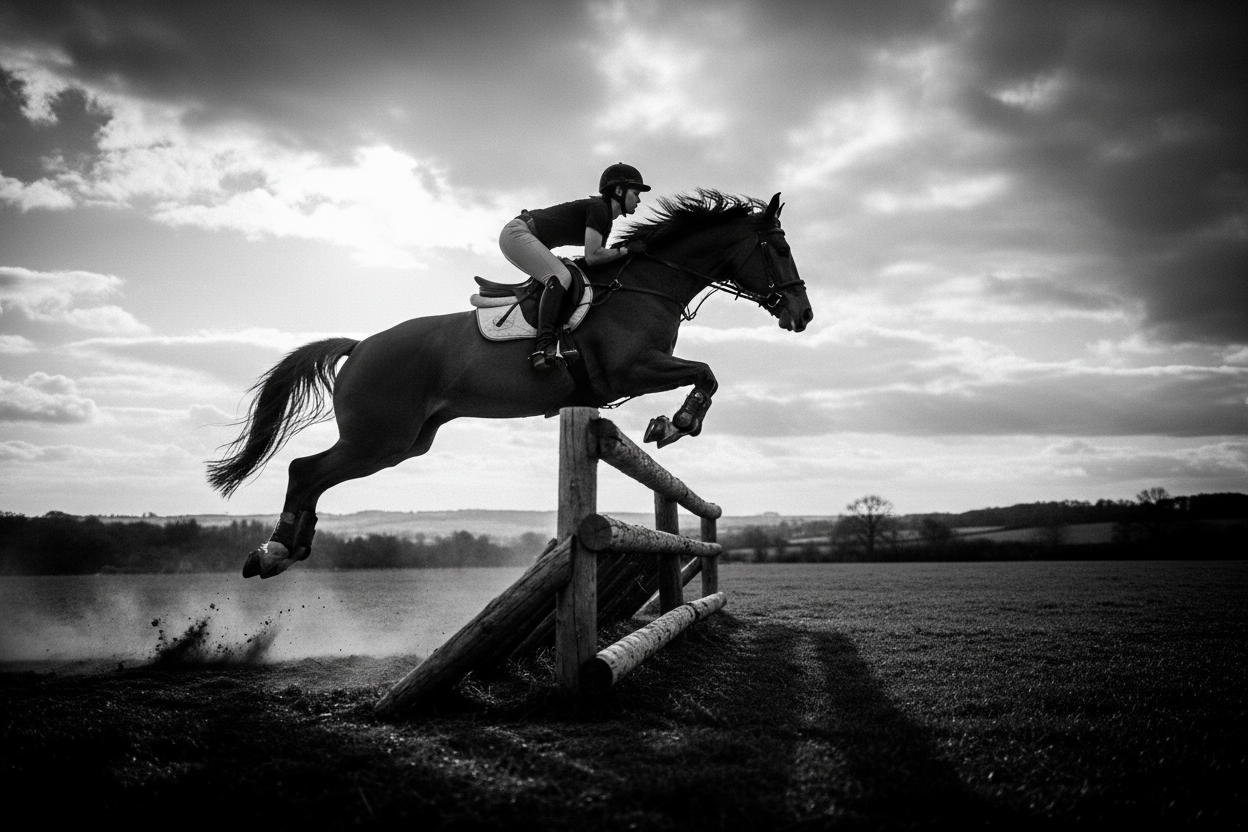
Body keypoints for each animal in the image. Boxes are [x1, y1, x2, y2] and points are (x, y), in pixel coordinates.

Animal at [208, 189, 813, 578]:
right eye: (780, 249)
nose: (802, 315)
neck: (648, 283)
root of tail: (360, 347)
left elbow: (707, 374)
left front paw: (670, 423)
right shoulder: (630, 369)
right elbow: (706, 372)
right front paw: (677, 423)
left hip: (402, 444)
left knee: (315, 476)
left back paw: (287, 551)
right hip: (377, 437)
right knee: (304, 470)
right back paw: (273, 553)